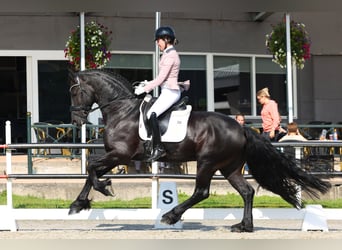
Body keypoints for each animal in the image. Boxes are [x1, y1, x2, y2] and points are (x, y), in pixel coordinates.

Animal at [68, 69, 330, 232]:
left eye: (74, 92)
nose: (77, 120)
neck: (122, 111)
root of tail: (240, 127)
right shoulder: (116, 156)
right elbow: (91, 172)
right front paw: (78, 204)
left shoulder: (121, 154)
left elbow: (92, 168)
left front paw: (103, 189)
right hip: (229, 167)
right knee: (246, 192)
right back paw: (244, 226)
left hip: (207, 163)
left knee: (202, 192)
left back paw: (171, 215)